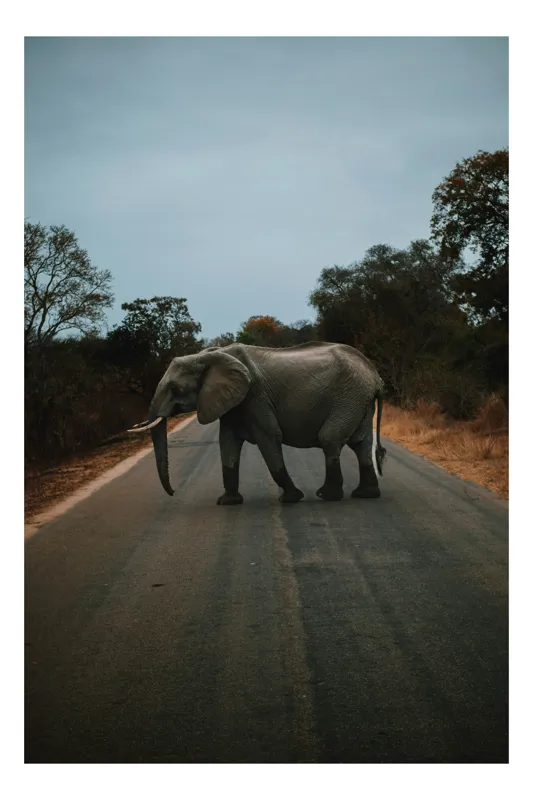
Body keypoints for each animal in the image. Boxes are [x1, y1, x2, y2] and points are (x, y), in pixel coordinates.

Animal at [128, 342, 386, 505]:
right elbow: (228, 442)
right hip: (358, 400)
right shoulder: (233, 402)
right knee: (361, 444)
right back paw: (365, 494)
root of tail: (375, 376)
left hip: (349, 397)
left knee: (330, 439)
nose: (173, 493)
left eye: (175, 388)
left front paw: (291, 498)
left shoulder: (254, 397)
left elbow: (269, 437)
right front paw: (227, 502)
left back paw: (327, 496)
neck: (210, 355)